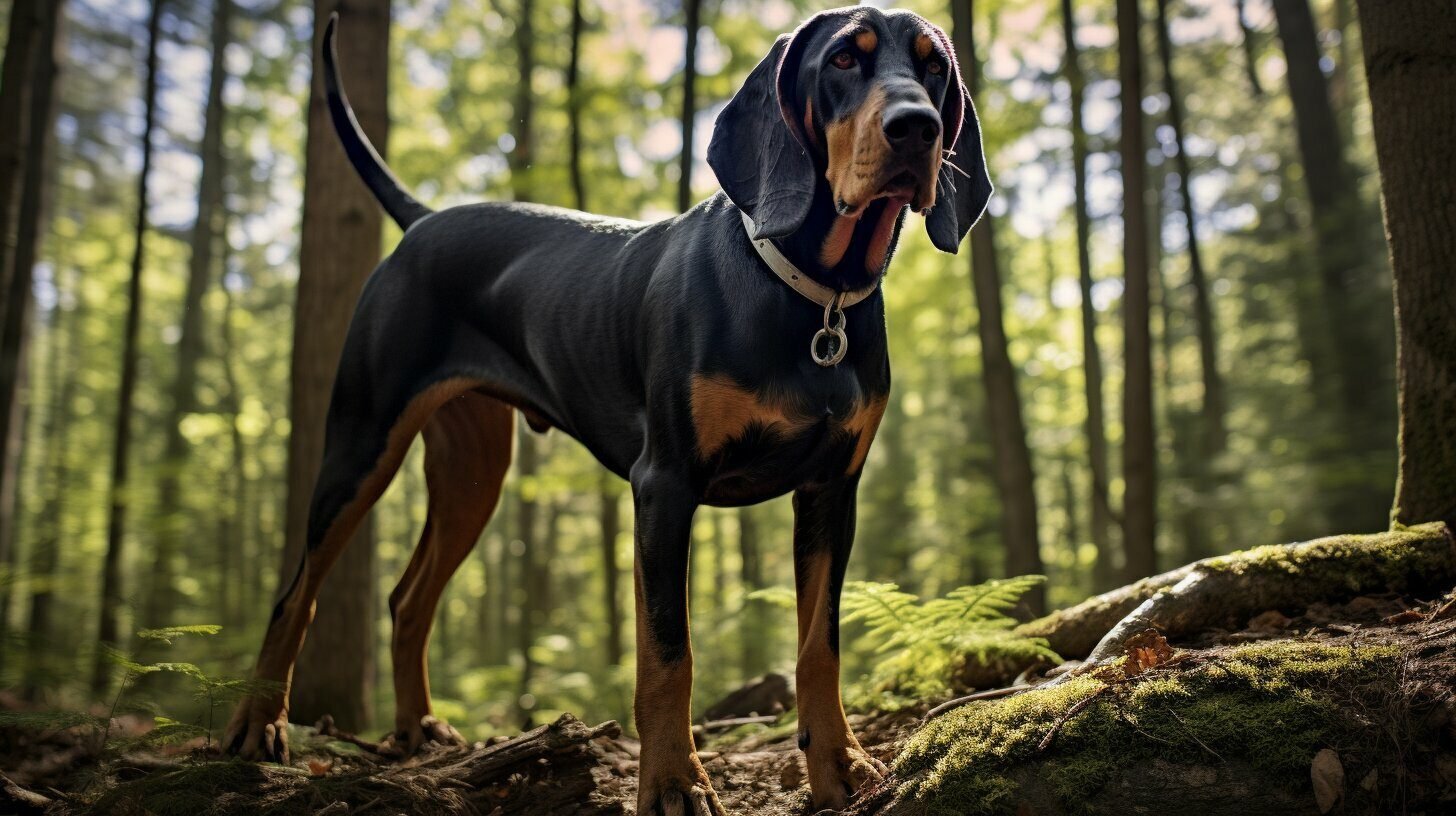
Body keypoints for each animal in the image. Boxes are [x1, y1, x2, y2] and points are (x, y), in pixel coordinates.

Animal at [224, 7, 990, 816]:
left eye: (934, 66)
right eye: (845, 57)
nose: (917, 127)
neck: (812, 296)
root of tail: (422, 222)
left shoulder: (830, 491)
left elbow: (820, 644)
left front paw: (838, 764)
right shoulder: (664, 487)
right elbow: (668, 652)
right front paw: (674, 783)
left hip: (472, 472)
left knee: (408, 600)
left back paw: (416, 731)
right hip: (363, 440)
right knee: (295, 594)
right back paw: (257, 725)